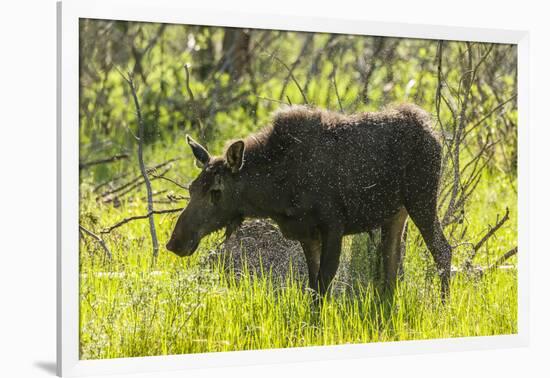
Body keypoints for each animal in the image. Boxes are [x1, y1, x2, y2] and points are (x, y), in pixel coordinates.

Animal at [167, 105, 452, 300]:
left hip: (422, 199)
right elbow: (313, 285)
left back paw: (443, 305)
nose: (175, 242)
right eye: (191, 188)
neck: (276, 192)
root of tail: (433, 132)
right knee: (392, 264)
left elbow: (324, 282)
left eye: (216, 191)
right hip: (395, 214)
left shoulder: (334, 225)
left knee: (442, 250)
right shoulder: (307, 233)